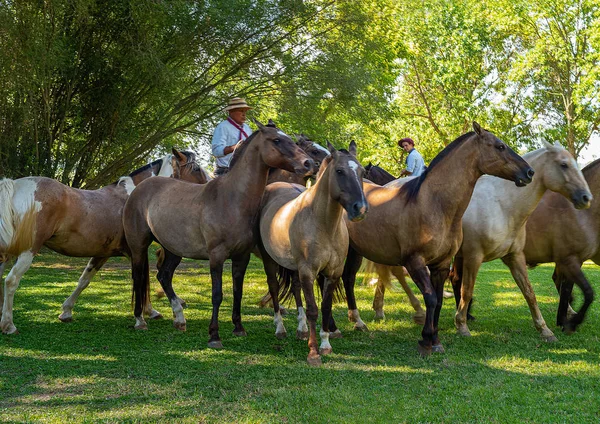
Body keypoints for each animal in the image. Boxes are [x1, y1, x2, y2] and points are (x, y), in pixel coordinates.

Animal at [0, 147, 211, 332]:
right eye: (197, 169)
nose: (211, 184)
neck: (138, 197)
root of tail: (15, 185)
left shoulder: (103, 253)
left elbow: (84, 279)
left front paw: (66, 311)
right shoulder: (136, 251)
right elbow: (143, 280)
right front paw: (145, 315)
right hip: (27, 251)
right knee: (11, 281)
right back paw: (9, 325)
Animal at [256, 142, 366, 364]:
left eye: (362, 171)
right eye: (339, 171)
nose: (359, 208)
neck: (323, 223)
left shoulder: (332, 272)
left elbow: (325, 307)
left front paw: (325, 344)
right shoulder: (308, 271)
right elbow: (313, 310)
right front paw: (314, 352)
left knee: (295, 288)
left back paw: (302, 329)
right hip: (270, 261)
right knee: (274, 288)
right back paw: (280, 328)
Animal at [340, 121, 532, 356]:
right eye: (500, 146)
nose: (529, 172)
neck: (433, 205)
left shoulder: (441, 264)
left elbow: (438, 300)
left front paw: (435, 339)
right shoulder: (414, 262)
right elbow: (430, 298)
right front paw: (426, 339)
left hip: (356, 251)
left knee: (348, 278)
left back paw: (357, 321)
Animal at [442, 142, 592, 342]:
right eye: (563, 165)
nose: (586, 198)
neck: (502, 206)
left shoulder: (515, 256)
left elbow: (529, 293)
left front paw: (545, 330)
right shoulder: (474, 257)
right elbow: (468, 290)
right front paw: (462, 327)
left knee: (453, 279)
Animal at [524, 157, 600, 332]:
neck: (582, 214)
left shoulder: (573, 261)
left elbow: (567, 289)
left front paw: (564, 320)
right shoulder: (569, 260)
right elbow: (588, 292)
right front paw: (572, 322)